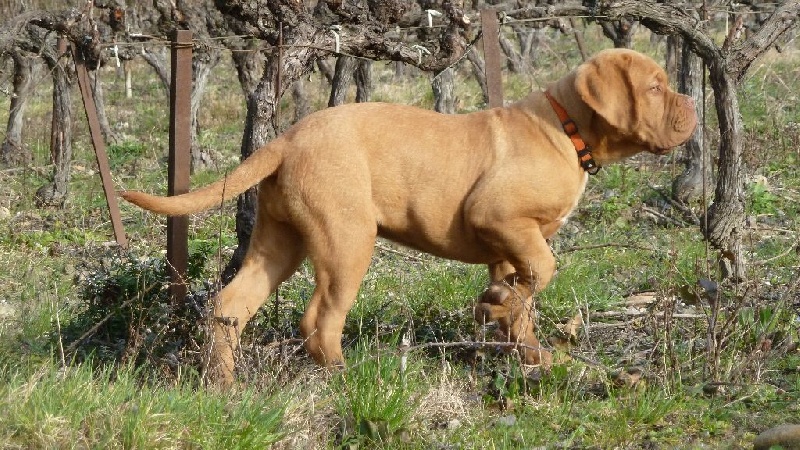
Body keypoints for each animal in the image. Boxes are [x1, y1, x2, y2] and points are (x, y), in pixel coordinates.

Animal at [122, 49, 696, 384]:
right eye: (654, 87)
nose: (692, 105)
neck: (567, 129)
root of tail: (290, 136)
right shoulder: (502, 218)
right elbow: (546, 269)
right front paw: (506, 316)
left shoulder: (506, 245)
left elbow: (524, 299)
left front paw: (525, 347)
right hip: (347, 239)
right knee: (319, 318)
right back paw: (344, 376)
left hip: (280, 240)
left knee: (230, 305)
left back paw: (224, 384)